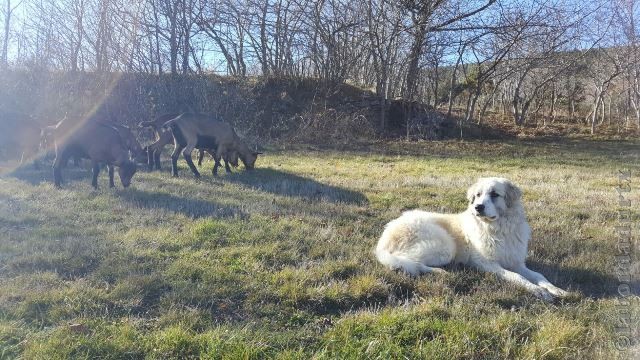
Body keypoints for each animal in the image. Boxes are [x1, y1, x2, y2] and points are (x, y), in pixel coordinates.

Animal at [376, 177, 568, 300]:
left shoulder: (517, 263)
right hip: (445, 246)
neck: (499, 229)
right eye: (477, 195)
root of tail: (385, 236)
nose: (478, 207)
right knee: (407, 262)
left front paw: (555, 289)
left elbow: (539, 275)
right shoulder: (487, 263)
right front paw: (538, 291)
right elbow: (517, 277)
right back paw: (439, 272)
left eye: (494, 194)